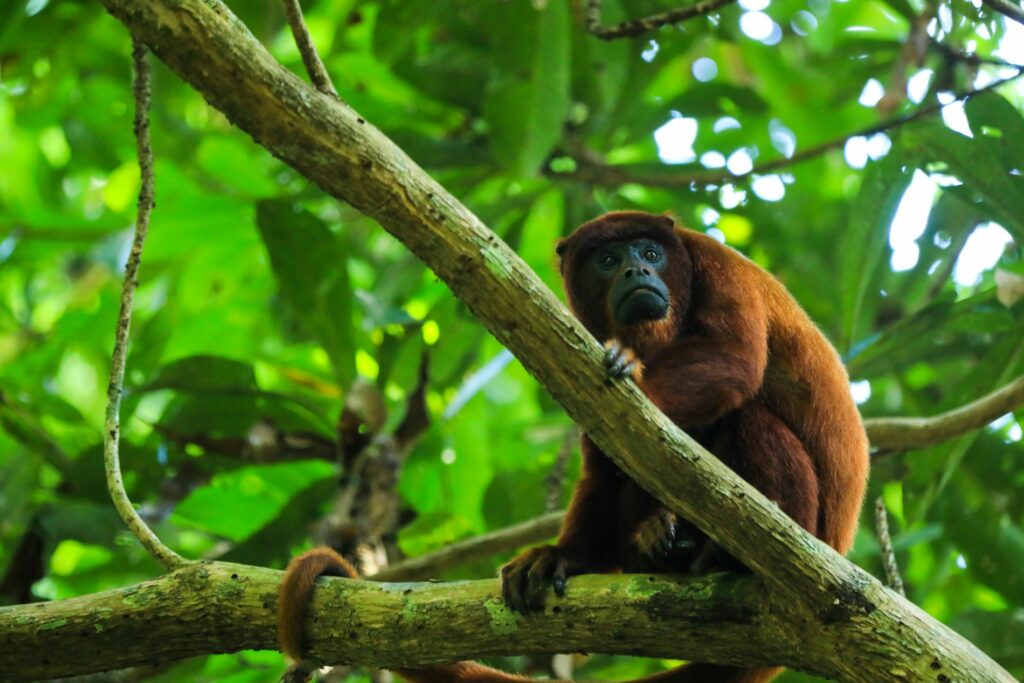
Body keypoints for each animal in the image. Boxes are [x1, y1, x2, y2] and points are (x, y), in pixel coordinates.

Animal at [276, 211, 868, 683]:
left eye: (650, 253)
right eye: (608, 260)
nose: (637, 272)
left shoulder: (719, 266)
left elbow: (733, 358)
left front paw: (632, 370)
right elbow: (603, 469)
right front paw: (565, 556)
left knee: (748, 418)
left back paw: (736, 555)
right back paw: (659, 543)